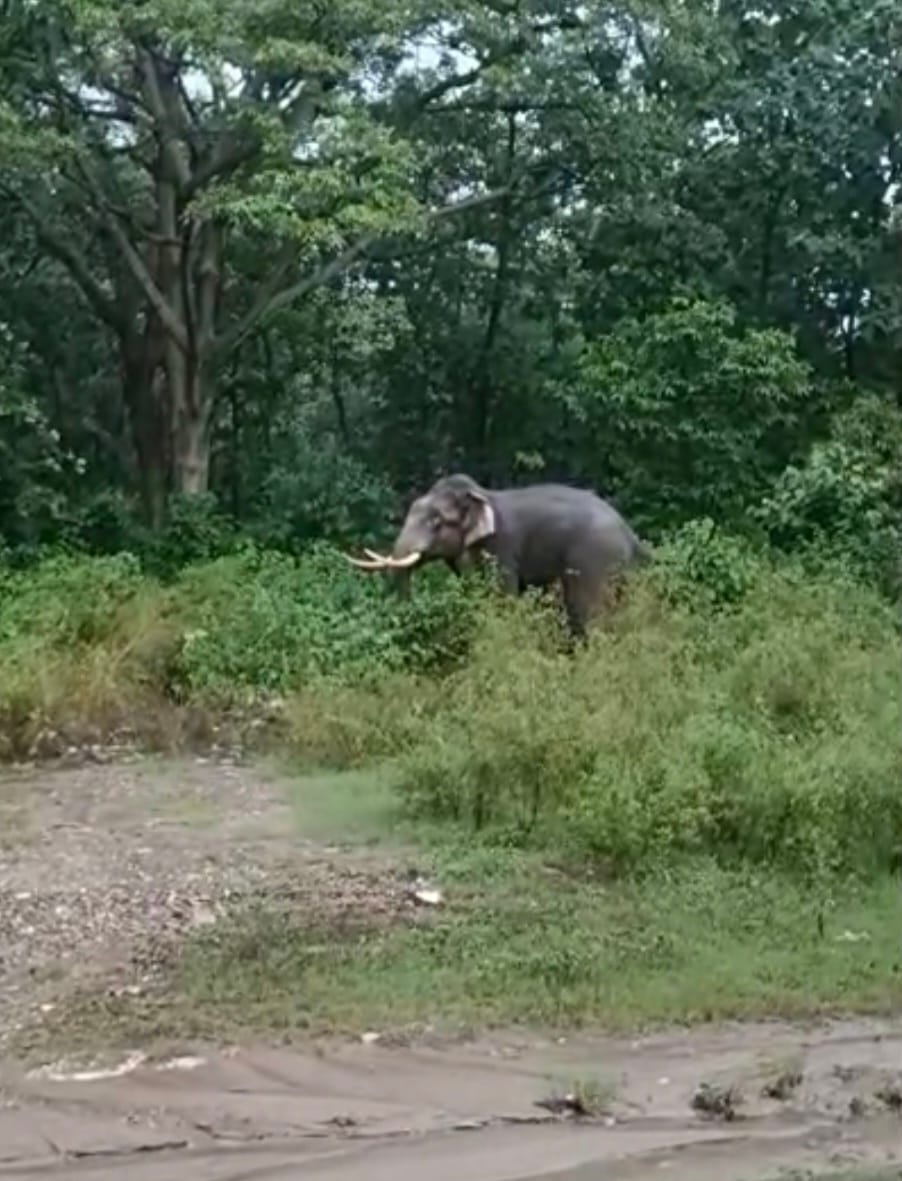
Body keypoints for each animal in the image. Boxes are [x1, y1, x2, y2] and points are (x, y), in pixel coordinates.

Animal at [345, 473, 651, 639]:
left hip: (593, 561)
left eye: (436, 521)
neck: (481, 495)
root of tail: (631, 536)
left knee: (587, 612)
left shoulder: (501, 548)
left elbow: (502, 597)